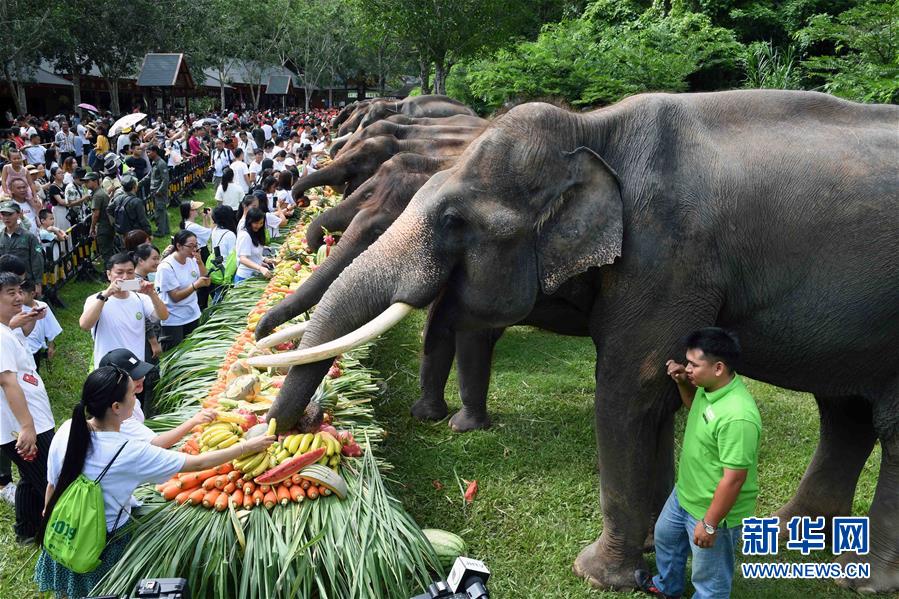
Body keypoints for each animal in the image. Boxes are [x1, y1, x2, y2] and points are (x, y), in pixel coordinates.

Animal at [251, 91, 899, 592]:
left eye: (454, 221)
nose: (303, 423)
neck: (593, 130)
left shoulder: (667, 258)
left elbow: (629, 389)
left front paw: (597, 574)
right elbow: (657, 396)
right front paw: (653, 549)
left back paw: (862, 578)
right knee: (844, 413)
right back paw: (792, 535)